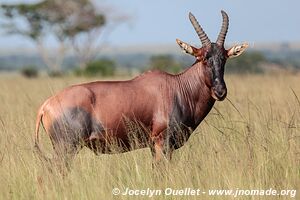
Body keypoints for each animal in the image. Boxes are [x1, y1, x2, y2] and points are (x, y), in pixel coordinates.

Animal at [34, 10, 247, 170]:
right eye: (203, 57)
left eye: (224, 58)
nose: (220, 91)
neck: (177, 86)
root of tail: (45, 106)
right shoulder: (162, 143)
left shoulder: (155, 147)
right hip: (66, 148)